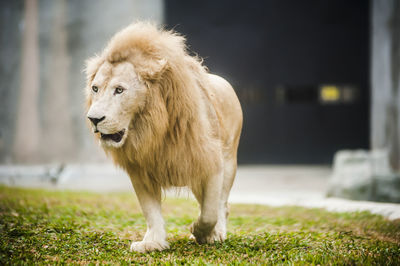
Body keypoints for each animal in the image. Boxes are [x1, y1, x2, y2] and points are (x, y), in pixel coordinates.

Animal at [83, 21, 244, 252]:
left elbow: (210, 212)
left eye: (119, 90)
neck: (153, 127)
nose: (93, 119)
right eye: (95, 88)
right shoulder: (140, 170)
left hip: (230, 160)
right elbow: (151, 211)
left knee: (223, 204)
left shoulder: (210, 160)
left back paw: (217, 233)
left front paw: (201, 231)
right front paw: (152, 243)